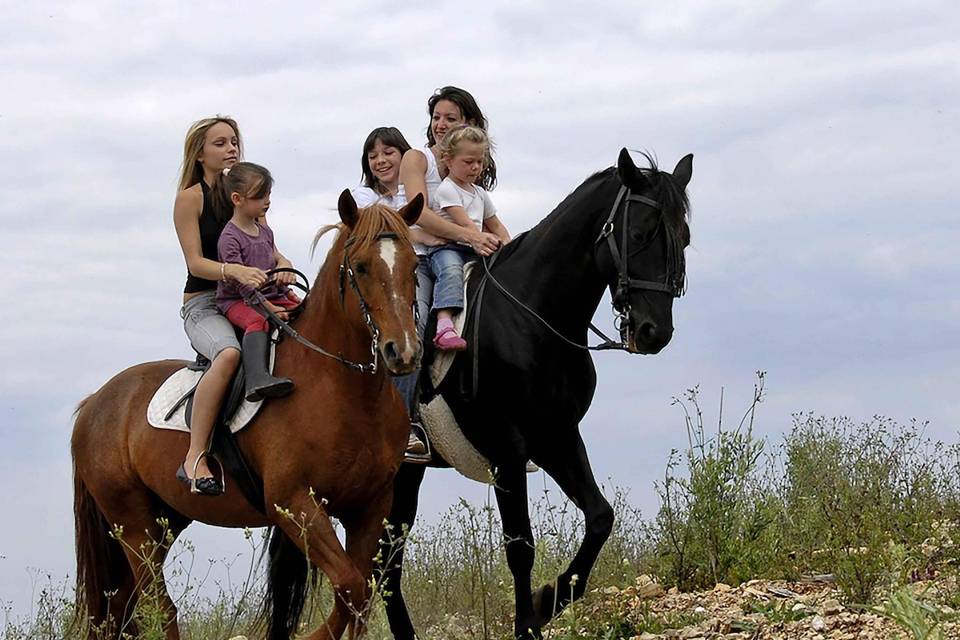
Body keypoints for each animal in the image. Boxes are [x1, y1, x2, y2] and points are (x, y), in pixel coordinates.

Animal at [72, 192, 424, 640]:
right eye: (361, 266)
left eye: (414, 266)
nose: (404, 351)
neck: (343, 389)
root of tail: (95, 402)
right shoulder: (294, 504)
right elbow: (350, 585)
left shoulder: (370, 506)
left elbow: (358, 597)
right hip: (134, 525)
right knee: (159, 606)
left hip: (164, 520)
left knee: (122, 606)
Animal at [379, 149, 693, 640]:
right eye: (640, 234)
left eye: (685, 238)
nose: (653, 331)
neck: (532, 316)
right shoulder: (507, 449)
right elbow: (520, 546)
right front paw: (528, 624)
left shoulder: (557, 437)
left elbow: (600, 517)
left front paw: (550, 600)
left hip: (407, 475)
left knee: (387, 563)